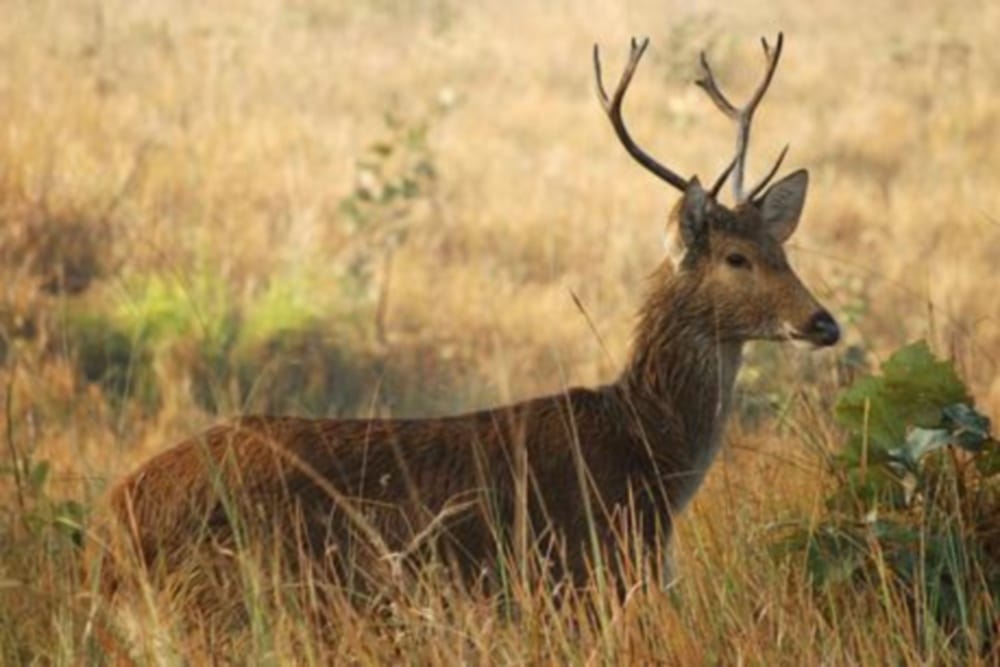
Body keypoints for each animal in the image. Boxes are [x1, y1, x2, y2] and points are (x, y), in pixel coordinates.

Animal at [98, 34, 839, 605]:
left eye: (784, 248)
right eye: (737, 258)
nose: (824, 322)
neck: (645, 452)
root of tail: (114, 521)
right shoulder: (583, 574)